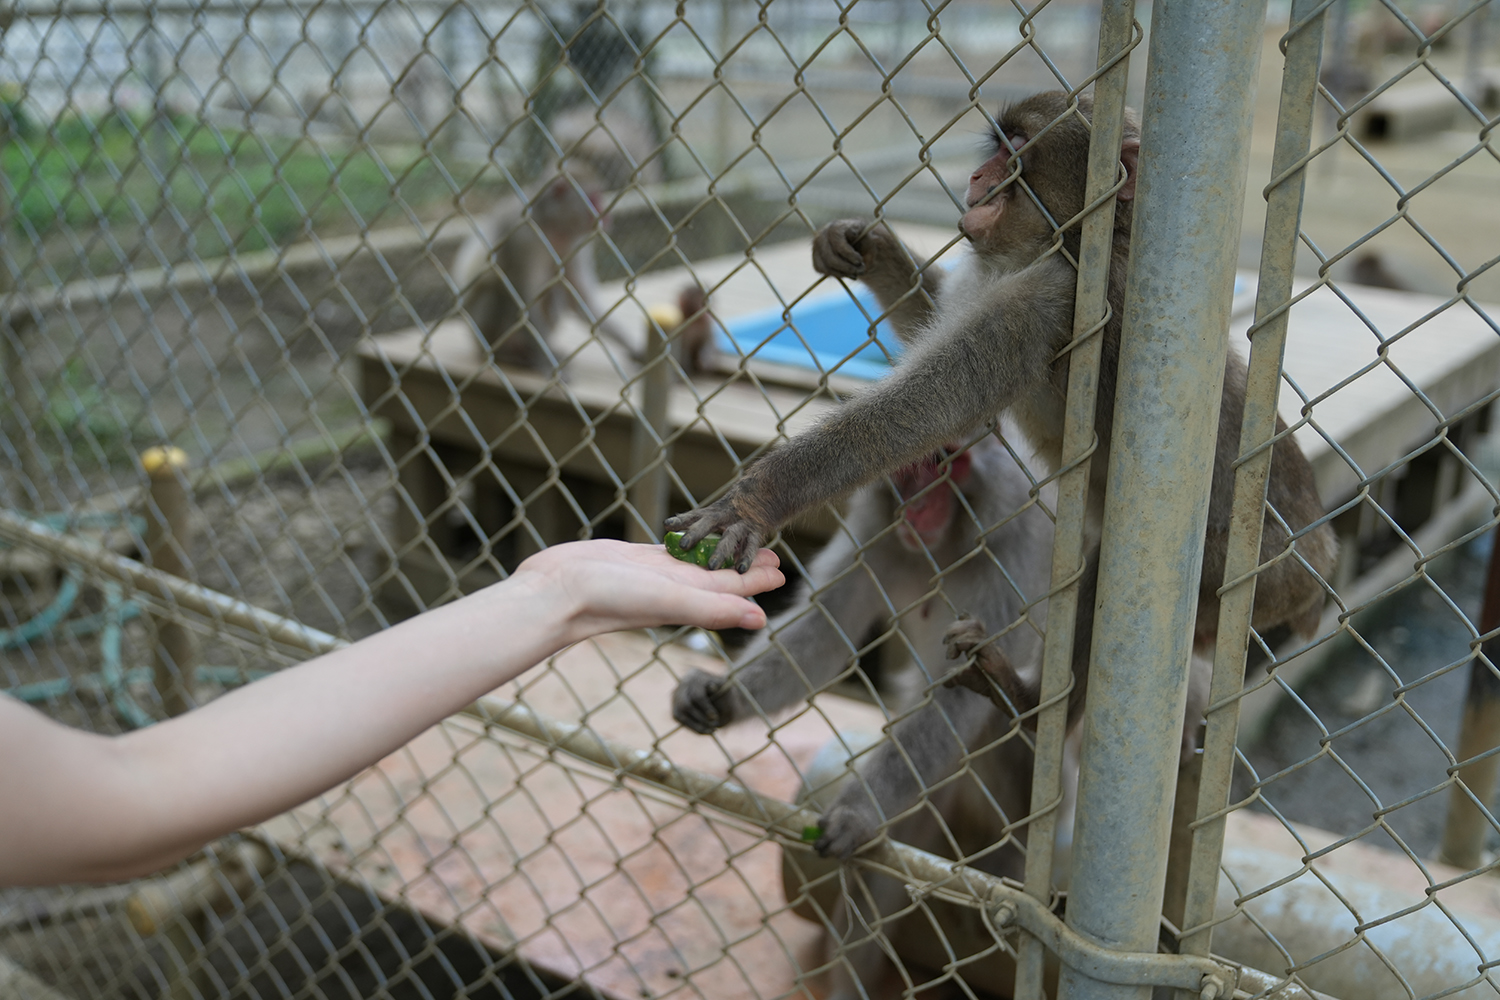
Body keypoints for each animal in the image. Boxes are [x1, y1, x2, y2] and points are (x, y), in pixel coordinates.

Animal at [456, 167, 645, 371]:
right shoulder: (524, 237)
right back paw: (509, 354)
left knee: (556, 290)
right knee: (496, 292)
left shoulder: (576, 242)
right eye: (594, 198)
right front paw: (546, 362)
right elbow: (527, 297)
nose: (606, 215)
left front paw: (634, 348)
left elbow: (581, 298)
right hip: (481, 331)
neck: (553, 224)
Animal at [669, 434, 1068, 1000]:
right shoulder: (876, 534)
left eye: (951, 464)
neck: (948, 544)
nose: (918, 506)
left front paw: (858, 812)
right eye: (915, 467)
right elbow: (824, 630)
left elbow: (964, 691)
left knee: (1008, 731)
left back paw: (1016, 852)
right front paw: (717, 695)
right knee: (875, 879)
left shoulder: (1013, 552)